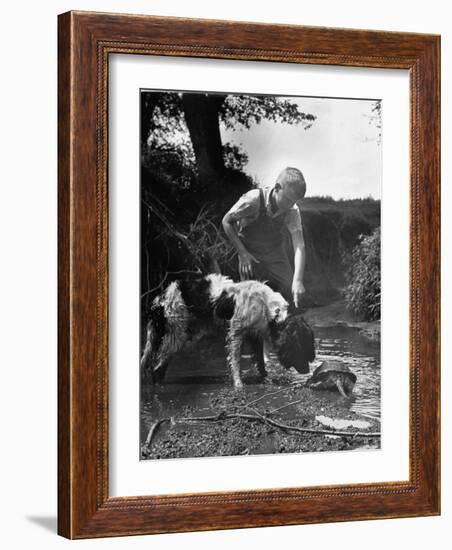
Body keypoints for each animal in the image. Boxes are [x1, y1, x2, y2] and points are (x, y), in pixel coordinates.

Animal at [140, 274, 314, 390]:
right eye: (301, 348)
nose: (307, 371)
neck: (266, 306)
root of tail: (160, 298)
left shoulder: (255, 334)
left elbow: (260, 361)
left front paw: (266, 378)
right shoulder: (236, 333)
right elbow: (236, 361)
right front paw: (238, 384)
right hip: (177, 335)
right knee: (157, 366)